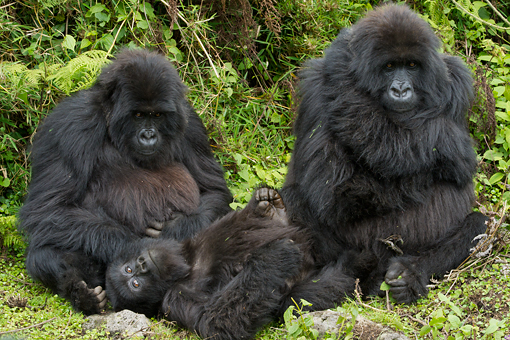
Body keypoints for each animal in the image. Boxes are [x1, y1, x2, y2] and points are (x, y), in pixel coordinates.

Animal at [17, 47, 232, 314]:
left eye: (157, 115)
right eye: (138, 115)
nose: (148, 136)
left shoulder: (191, 124)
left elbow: (214, 191)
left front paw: (175, 228)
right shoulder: (74, 123)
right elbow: (48, 209)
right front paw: (136, 244)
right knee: (43, 252)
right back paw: (80, 292)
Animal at [103, 187, 360, 338]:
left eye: (129, 267)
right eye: (135, 283)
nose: (142, 265)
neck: (188, 264)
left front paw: (266, 211)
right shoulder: (174, 301)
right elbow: (217, 322)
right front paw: (274, 256)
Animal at [280, 3, 488, 304]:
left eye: (411, 66)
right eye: (389, 67)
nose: (401, 89)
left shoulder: (456, 80)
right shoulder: (316, 91)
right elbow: (333, 187)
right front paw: (342, 66)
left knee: (477, 222)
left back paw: (410, 273)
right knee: (294, 199)